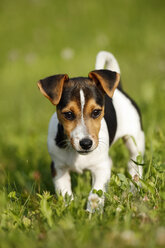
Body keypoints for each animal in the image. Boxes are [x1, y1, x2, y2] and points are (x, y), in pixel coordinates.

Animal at [37, 51, 144, 212]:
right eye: (68, 114)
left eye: (96, 112)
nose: (86, 143)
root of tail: (119, 89)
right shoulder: (58, 168)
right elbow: (65, 193)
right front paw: (69, 211)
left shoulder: (102, 167)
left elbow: (95, 194)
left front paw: (92, 213)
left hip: (135, 141)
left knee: (135, 166)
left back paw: (135, 189)